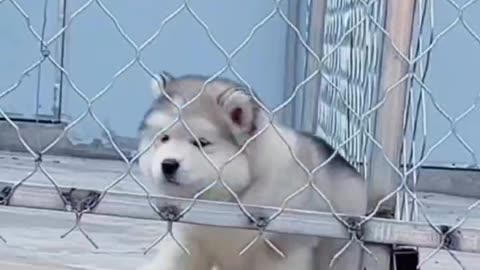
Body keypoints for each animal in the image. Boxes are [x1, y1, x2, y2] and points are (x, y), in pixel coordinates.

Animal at [137, 73, 370, 268]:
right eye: (164, 138)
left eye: (201, 143)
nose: (168, 164)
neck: (229, 199)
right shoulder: (187, 242)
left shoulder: (284, 249)